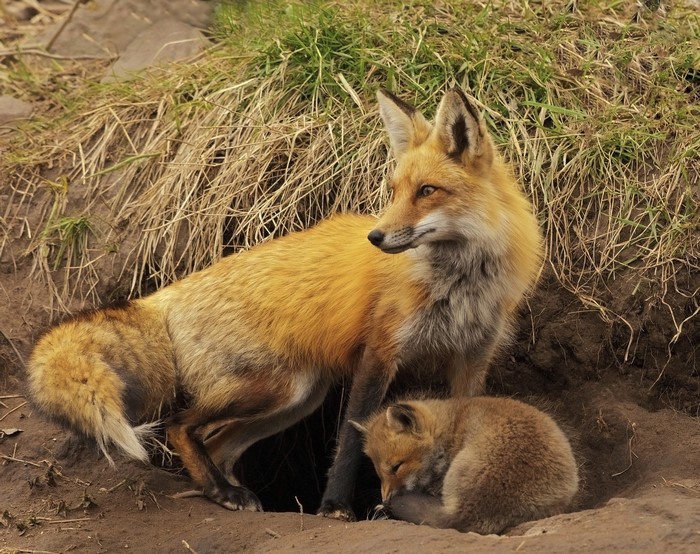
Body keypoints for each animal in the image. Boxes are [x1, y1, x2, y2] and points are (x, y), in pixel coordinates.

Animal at [26, 87, 542, 520]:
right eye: (394, 191)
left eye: (428, 191)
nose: (375, 237)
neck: (458, 285)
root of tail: (166, 293)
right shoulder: (380, 352)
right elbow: (351, 438)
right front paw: (335, 508)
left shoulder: (472, 358)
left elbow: (459, 424)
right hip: (277, 388)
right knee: (179, 425)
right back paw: (224, 491)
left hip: (295, 398)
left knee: (217, 444)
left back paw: (225, 491)